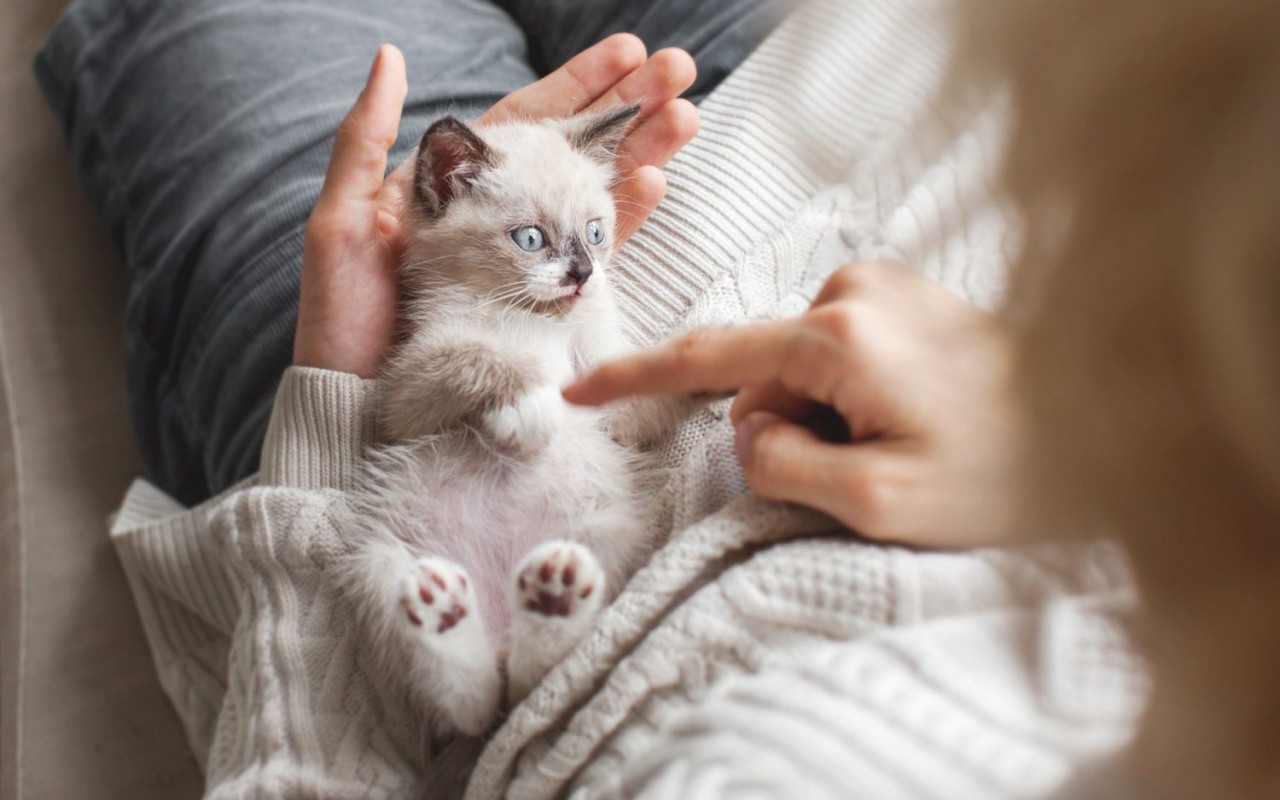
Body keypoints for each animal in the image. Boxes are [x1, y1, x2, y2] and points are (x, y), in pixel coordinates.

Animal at [343, 104, 691, 737]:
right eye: (531, 239)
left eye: (595, 233)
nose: (582, 273)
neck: (531, 316)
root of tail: (501, 626)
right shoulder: (403, 395)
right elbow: (481, 356)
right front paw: (530, 409)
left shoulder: (613, 395)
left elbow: (656, 374)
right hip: (376, 563)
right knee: (479, 705)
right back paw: (446, 614)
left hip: (612, 528)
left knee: (529, 683)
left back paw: (550, 600)